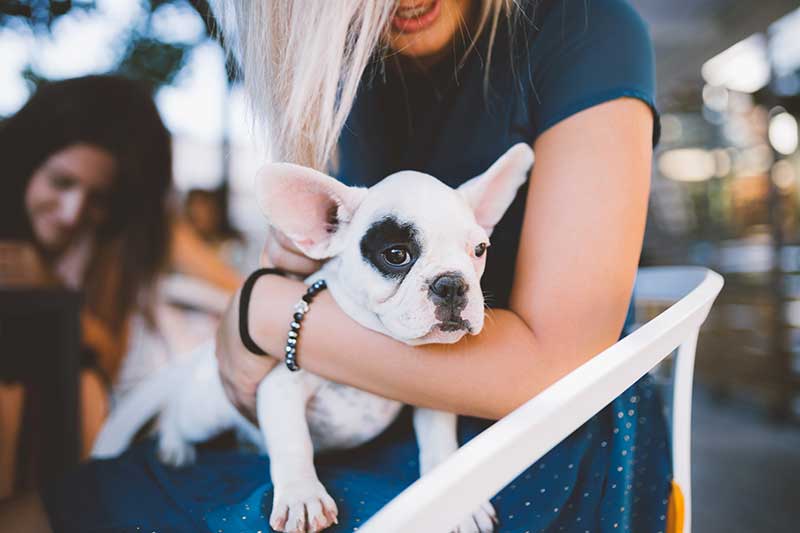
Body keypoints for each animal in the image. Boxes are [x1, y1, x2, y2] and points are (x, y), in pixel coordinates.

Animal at [90, 143, 536, 532]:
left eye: (479, 249)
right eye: (396, 255)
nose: (452, 284)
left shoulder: (431, 400)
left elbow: (439, 441)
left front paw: (458, 499)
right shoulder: (280, 386)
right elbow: (293, 444)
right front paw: (302, 496)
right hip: (207, 409)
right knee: (176, 415)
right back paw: (174, 447)